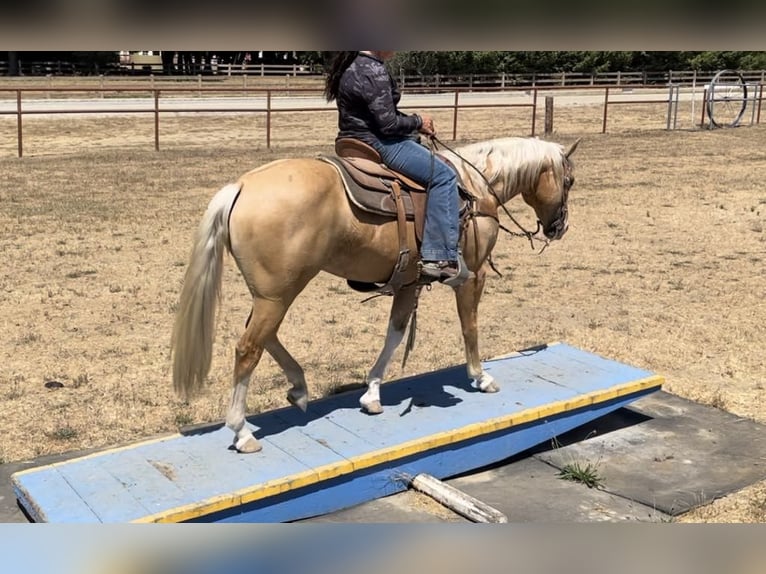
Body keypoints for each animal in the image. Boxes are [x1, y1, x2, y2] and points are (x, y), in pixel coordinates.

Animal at [171, 135, 580, 453]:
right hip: (278, 295)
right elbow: (470, 328)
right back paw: (241, 431)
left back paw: (298, 389)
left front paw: (371, 394)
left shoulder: (409, 282)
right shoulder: (472, 276)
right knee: (248, 348)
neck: (476, 189)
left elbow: (394, 334)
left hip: (273, 294)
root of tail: (242, 186)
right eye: (570, 180)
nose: (559, 228)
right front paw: (481, 377)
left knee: (265, 337)